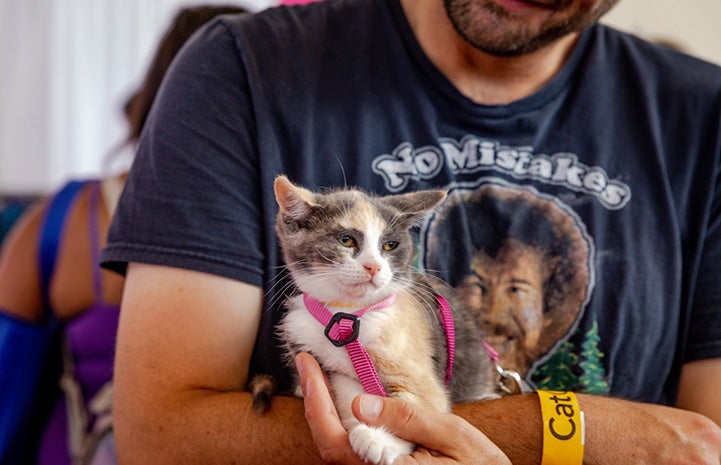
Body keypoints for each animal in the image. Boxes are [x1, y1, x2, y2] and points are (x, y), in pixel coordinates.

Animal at [256, 175, 498, 464]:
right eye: (346, 240)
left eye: (389, 245)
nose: (374, 266)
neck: (347, 314)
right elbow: (347, 390)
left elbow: (420, 403)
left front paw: (381, 440)